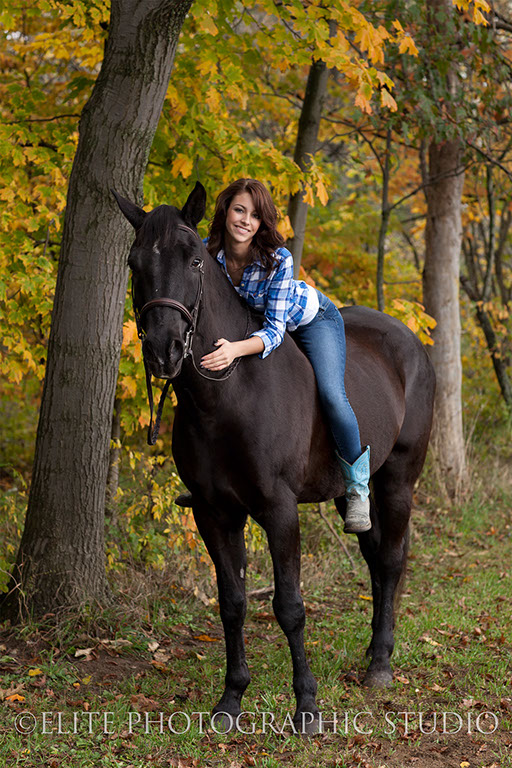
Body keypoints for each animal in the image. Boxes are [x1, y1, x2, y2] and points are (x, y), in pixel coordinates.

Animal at [114, 181, 436, 733]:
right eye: (135, 262)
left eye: (194, 258)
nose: (163, 349)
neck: (227, 397)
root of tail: (410, 341)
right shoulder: (213, 513)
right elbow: (232, 603)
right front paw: (231, 699)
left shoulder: (280, 511)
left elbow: (289, 607)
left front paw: (306, 705)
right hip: (350, 491)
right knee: (374, 557)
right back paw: (375, 650)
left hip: (398, 479)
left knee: (392, 561)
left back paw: (380, 665)